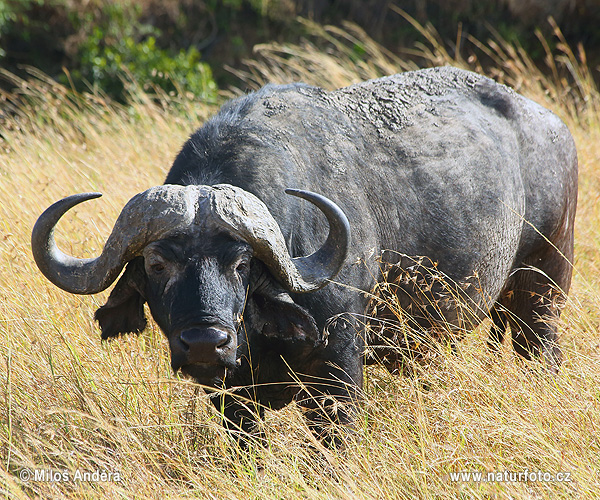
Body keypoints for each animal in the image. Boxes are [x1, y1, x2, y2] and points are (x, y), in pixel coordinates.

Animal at [31, 65, 576, 442]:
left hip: (544, 287)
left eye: (241, 264)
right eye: (157, 264)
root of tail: (549, 123)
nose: (206, 341)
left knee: (540, 347)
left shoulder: (341, 370)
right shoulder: (231, 396)